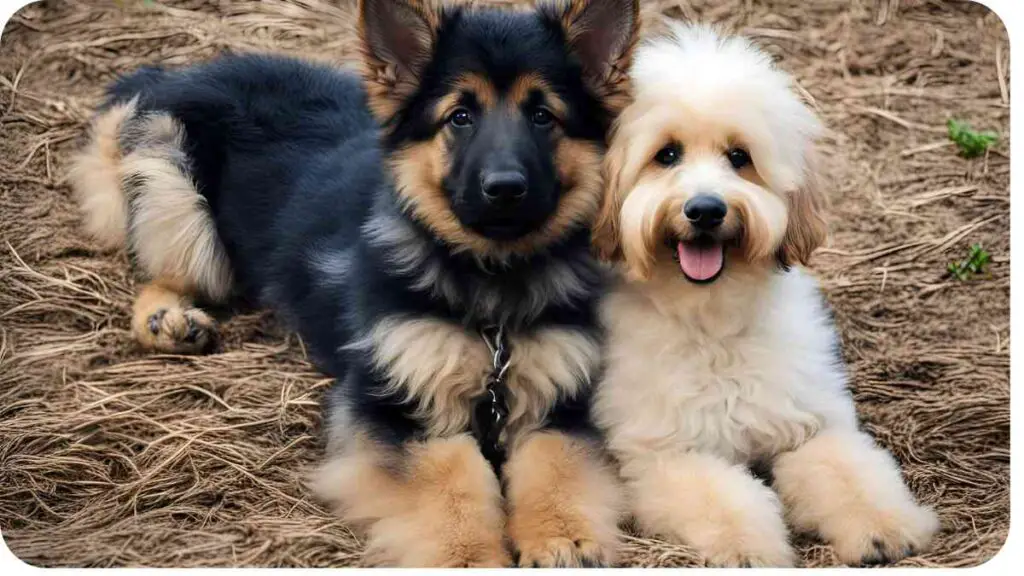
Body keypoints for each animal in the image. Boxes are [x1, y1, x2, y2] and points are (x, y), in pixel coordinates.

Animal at [68, 0, 634, 565]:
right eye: (460, 116)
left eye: (543, 116)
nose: (505, 189)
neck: (490, 286)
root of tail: (178, 73)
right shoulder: (397, 409)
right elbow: (449, 482)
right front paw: (469, 556)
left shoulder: (559, 402)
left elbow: (554, 462)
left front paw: (562, 537)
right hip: (180, 198)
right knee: (161, 272)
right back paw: (167, 320)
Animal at [589, 23, 937, 565]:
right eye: (666, 154)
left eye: (740, 157)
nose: (706, 210)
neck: (713, 322)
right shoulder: (666, 453)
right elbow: (725, 496)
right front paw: (746, 547)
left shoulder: (811, 423)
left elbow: (849, 470)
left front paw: (884, 526)